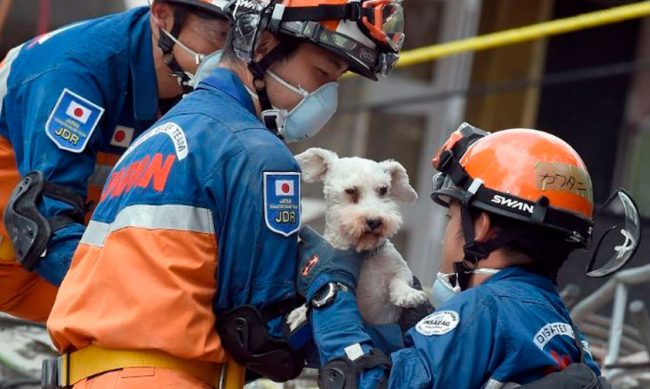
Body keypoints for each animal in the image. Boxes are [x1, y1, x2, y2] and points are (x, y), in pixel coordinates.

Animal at [290, 147, 430, 326]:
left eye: (383, 189)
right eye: (351, 191)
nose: (375, 221)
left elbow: (400, 279)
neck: (364, 255)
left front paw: (407, 294)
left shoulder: (400, 268)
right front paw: (300, 313)